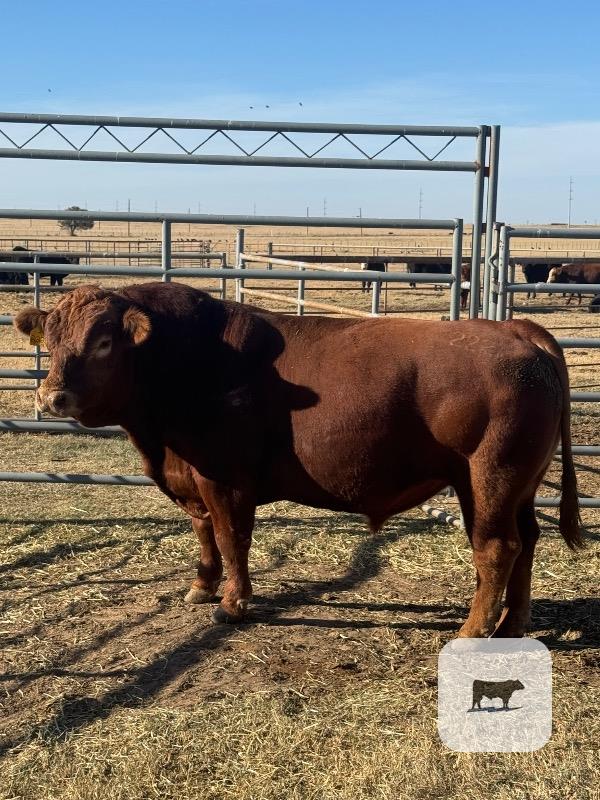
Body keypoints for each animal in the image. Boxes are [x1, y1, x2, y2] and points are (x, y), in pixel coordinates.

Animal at [13, 283, 583, 636]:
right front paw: (202, 586)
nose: (53, 396)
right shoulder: (194, 477)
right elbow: (204, 534)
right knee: (528, 541)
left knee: (497, 549)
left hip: (488, 479)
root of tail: (517, 329)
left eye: (105, 342)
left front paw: (232, 603)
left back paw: (473, 629)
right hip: (518, 486)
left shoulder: (225, 480)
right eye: (53, 340)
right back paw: (512, 624)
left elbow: (231, 537)